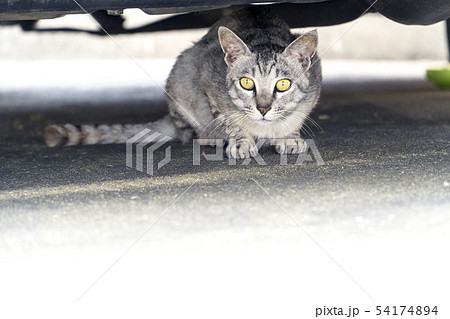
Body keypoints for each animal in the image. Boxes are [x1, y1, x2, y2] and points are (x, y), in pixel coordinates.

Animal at [44, 8, 322, 160]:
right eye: (246, 83)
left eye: (283, 85)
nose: (263, 108)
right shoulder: (209, 80)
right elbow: (229, 119)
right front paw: (240, 142)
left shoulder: (314, 87)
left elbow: (296, 116)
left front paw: (289, 137)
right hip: (181, 75)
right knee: (188, 131)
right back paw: (209, 136)